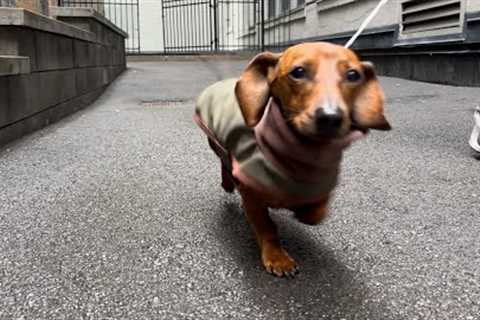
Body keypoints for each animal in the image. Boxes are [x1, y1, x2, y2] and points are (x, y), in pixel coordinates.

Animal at [195, 42, 390, 278]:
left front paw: (302, 210)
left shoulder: (320, 185)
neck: (300, 155)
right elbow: (266, 226)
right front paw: (277, 258)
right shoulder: (252, 192)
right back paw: (228, 181)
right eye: (298, 72)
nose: (330, 117)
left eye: (353, 75)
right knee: (224, 162)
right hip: (217, 143)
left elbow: (316, 212)